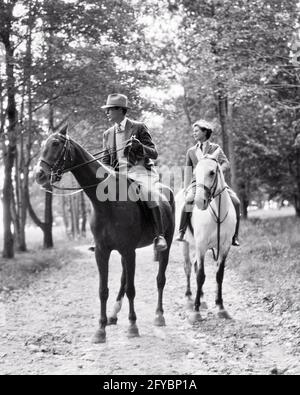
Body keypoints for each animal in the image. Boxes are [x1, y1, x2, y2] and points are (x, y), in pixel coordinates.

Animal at [35, 124, 176, 344]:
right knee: (124, 280)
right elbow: (103, 290)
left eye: (56, 144)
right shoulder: (103, 251)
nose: (39, 174)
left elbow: (132, 289)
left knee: (160, 279)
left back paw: (159, 315)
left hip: (164, 246)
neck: (107, 202)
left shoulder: (128, 250)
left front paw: (133, 326)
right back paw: (113, 314)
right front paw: (100, 330)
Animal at [176, 150, 237, 324]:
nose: (199, 201)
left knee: (195, 266)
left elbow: (219, 275)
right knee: (189, 267)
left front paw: (221, 307)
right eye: (195, 173)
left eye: (212, 172)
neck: (217, 213)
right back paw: (190, 299)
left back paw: (202, 299)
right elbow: (200, 276)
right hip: (186, 244)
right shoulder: (201, 246)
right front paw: (196, 312)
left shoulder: (225, 247)